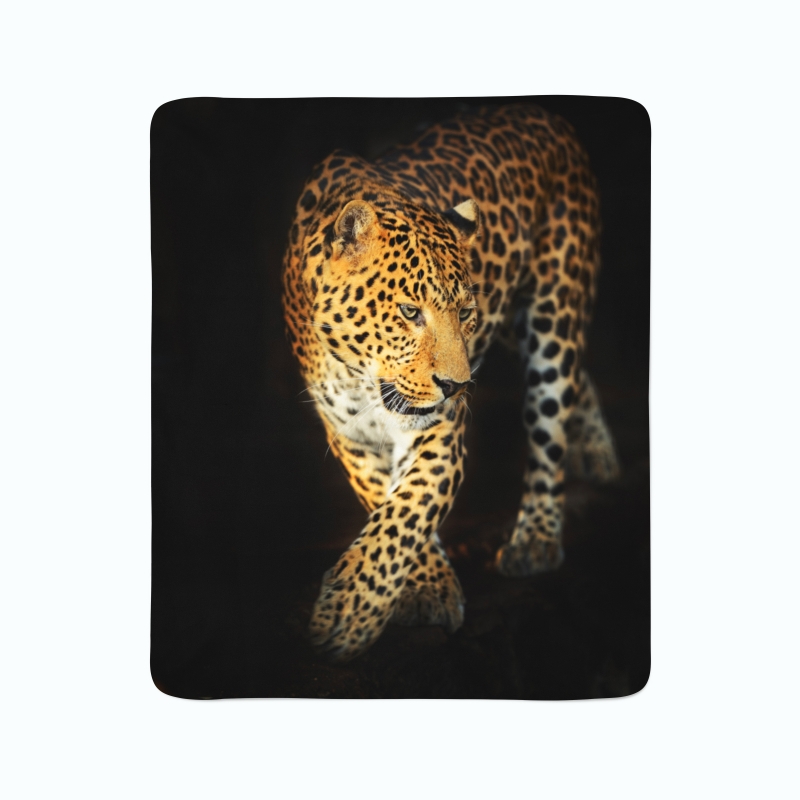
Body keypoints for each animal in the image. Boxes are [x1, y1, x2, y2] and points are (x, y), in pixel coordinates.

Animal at [282, 103, 619, 662]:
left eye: (464, 312)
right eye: (409, 312)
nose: (456, 387)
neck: (361, 377)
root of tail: (540, 110)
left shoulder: (438, 430)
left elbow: (409, 510)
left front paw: (347, 614)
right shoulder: (350, 438)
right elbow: (389, 504)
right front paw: (426, 586)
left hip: (554, 312)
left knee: (551, 418)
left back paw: (536, 537)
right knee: (576, 382)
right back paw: (596, 452)